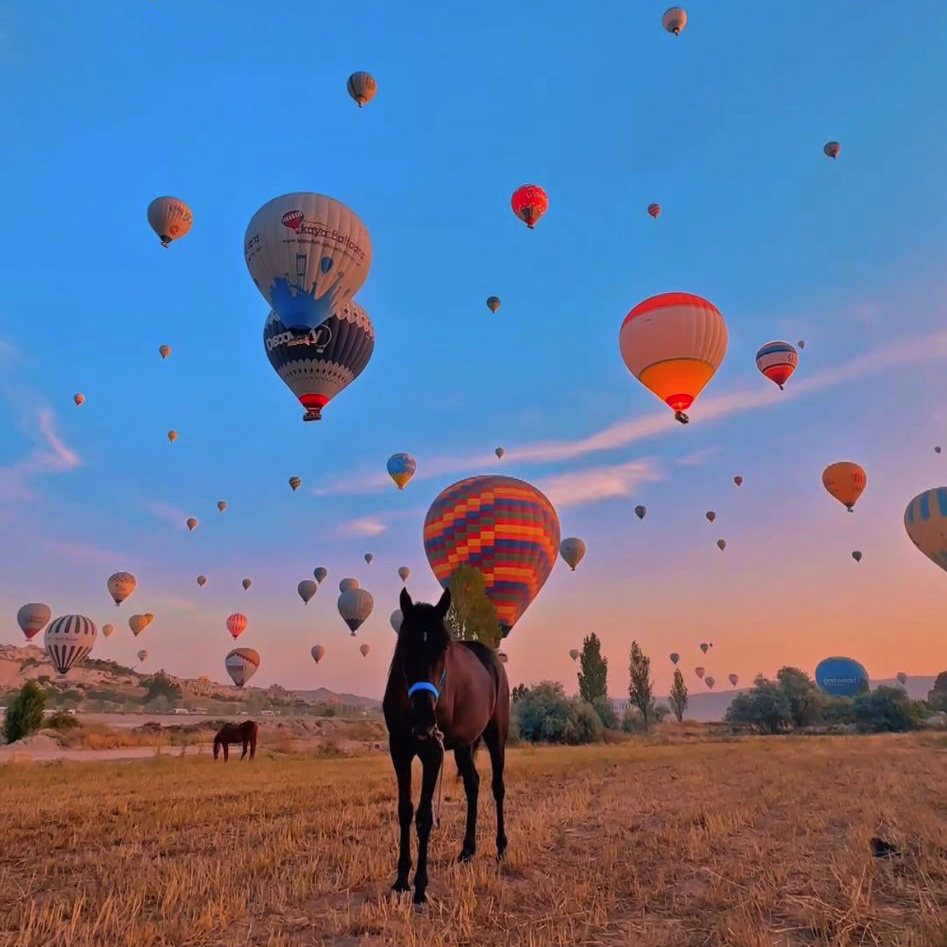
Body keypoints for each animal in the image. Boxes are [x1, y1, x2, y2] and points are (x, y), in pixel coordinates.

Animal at [384, 588, 512, 908]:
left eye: (443, 649)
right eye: (405, 644)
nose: (423, 722)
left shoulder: (433, 753)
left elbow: (424, 817)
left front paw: (420, 887)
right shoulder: (399, 751)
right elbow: (405, 810)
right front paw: (401, 880)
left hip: (496, 736)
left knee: (497, 787)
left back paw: (501, 847)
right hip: (464, 745)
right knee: (473, 785)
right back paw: (467, 850)